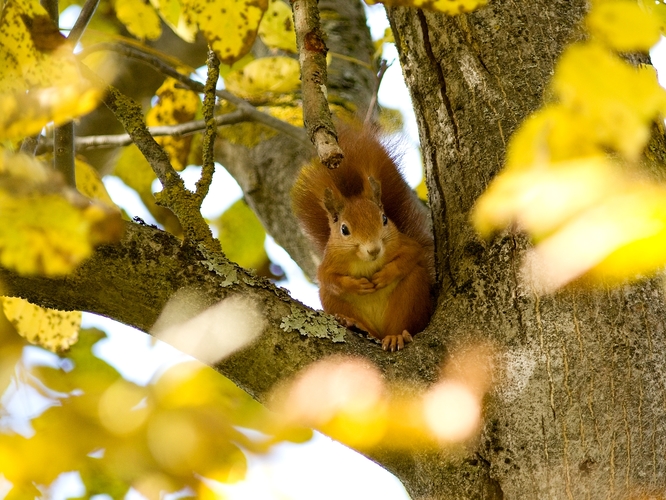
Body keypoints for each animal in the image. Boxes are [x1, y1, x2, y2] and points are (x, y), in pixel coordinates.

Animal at [294, 123, 434, 352]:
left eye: (384, 219)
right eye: (344, 229)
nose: (374, 250)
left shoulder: (404, 243)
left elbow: (413, 254)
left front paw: (384, 275)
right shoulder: (328, 263)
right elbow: (327, 278)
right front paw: (356, 285)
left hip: (411, 294)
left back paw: (397, 336)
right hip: (332, 300)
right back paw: (353, 323)